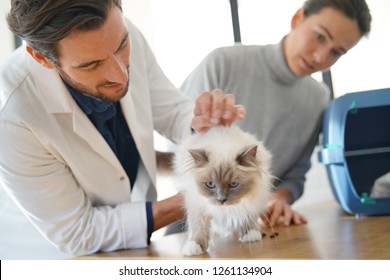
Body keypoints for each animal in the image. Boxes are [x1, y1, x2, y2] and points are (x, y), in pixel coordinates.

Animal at [174, 124, 272, 256]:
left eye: (234, 184)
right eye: (210, 184)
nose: (221, 200)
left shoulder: (251, 200)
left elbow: (247, 217)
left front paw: (249, 234)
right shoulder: (198, 206)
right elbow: (199, 228)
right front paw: (194, 247)